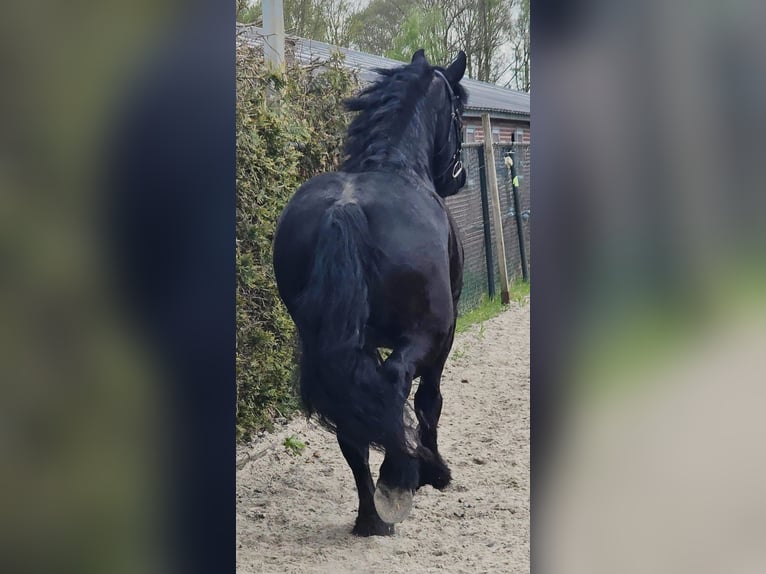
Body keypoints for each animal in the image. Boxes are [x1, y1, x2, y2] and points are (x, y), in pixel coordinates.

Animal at [272, 49, 468, 536]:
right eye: (459, 111)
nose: (457, 177)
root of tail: (344, 209)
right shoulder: (445, 336)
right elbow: (429, 402)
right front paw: (429, 474)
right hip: (424, 335)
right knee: (396, 386)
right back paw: (403, 482)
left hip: (337, 347)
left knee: (354, 421)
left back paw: (371, 518)